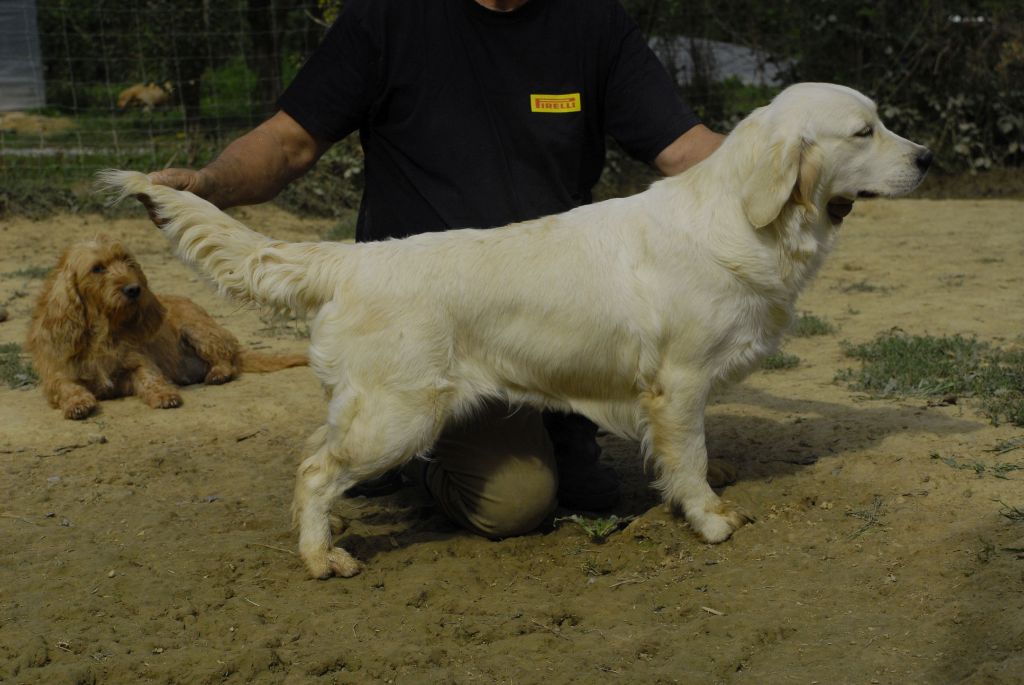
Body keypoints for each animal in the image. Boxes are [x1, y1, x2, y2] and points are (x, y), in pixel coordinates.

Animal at [25, 233, 305, 417]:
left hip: (198, 331)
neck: (103, 329)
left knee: (228, 360)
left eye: (127, 260)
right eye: (97, 268)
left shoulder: (139, 362)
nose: (134, 289)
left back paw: (217, 373)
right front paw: (78, 403)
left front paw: (164, 394)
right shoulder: (57, 375)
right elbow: (67, 387)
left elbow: (150, 378)